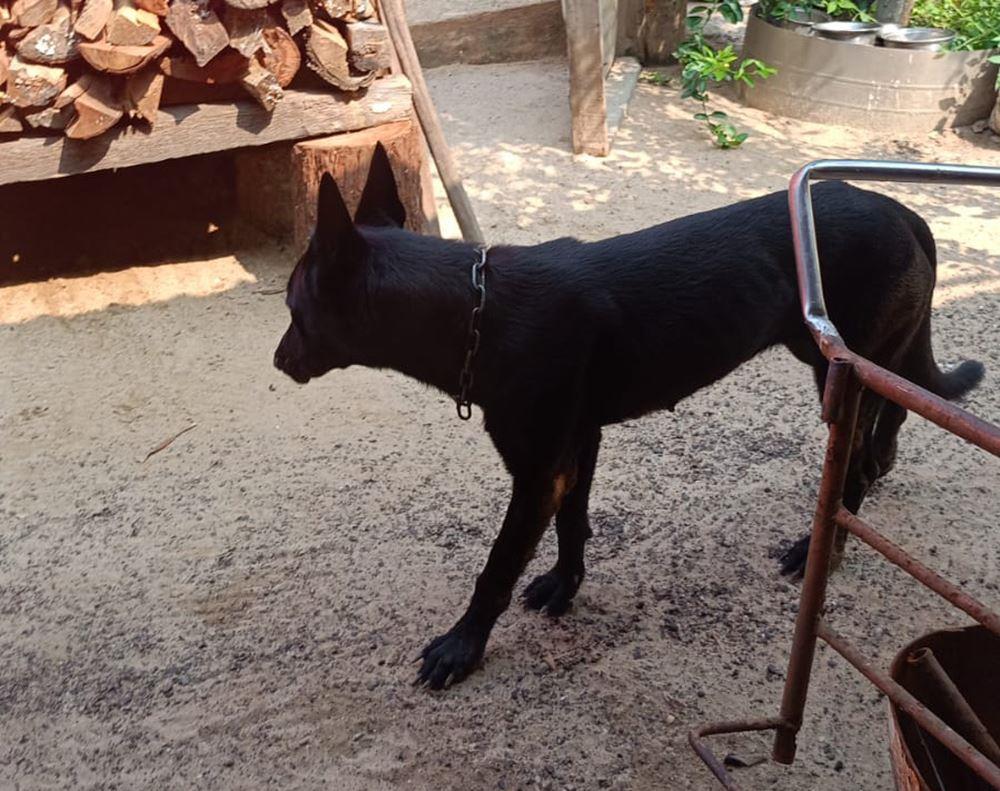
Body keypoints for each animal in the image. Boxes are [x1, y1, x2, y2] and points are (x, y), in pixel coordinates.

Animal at [274, 145, 984, 688]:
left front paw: (462, 646)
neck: (478, 310)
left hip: (838, 368)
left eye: (292, 305)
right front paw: (564, 586)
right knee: (893, 416)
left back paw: (822, 547)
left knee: (854, 465)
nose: (278, 361)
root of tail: (905, 212)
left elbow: (497, 568)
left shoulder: (537, 473)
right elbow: (573, 525)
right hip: (862, 358)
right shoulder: (578, 446)